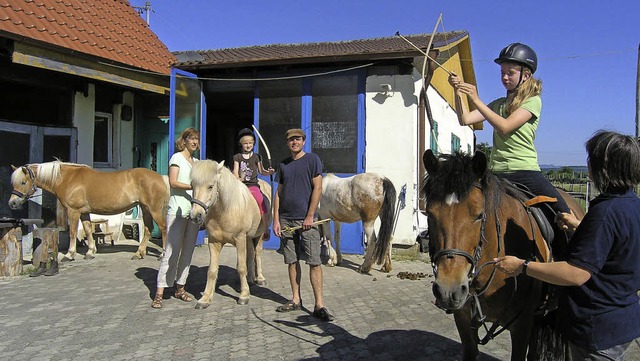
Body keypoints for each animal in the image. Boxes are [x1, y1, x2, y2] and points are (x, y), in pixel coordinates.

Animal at [9, 162, 169, 260]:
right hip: (145, 209)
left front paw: (69, 254)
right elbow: (87, 230)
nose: (12, 203)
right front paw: (90, 252)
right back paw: (139, 253)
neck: (67, 179)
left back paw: (162, 254)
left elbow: (73, 232)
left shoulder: (73, 211)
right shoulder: (84, 212)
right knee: (148, 229)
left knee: (163, 228)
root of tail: (161, 177)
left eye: (23, 182)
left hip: (154, 209)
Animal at [189, 159, 272, 308]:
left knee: (257, 253)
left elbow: (241, 267)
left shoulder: (239, 239)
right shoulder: (214, 242)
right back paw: (250, 279)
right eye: (192, 185)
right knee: (250, 253)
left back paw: (260, 278)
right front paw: (205, 298)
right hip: (248, 237)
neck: (225, 209)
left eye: (210, 186)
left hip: (259, 235)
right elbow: (212, 270)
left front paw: (244, 296)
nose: (195, 216)